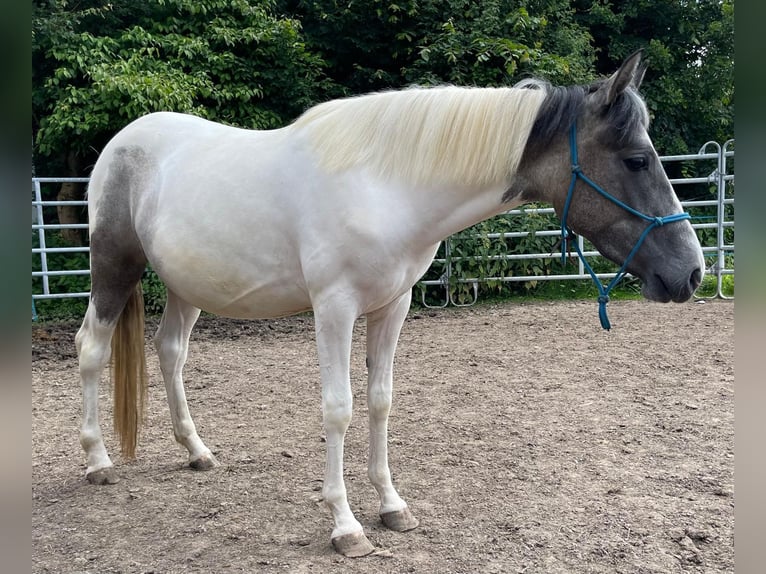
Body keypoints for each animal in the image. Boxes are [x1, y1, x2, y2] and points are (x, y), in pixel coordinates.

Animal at [75, 51, 704, 560]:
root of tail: (123, 142)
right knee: (91, 349)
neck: (385, 187)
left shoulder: (392, 307)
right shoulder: (334, 309)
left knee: (170, 352)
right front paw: (346, 526)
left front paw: (392, 506)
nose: (691, 272)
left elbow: (380, 401)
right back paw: (98, 462)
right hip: (114, 269)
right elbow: (339, 408)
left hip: (186, 287)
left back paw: (198, 452)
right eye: (636, 160)